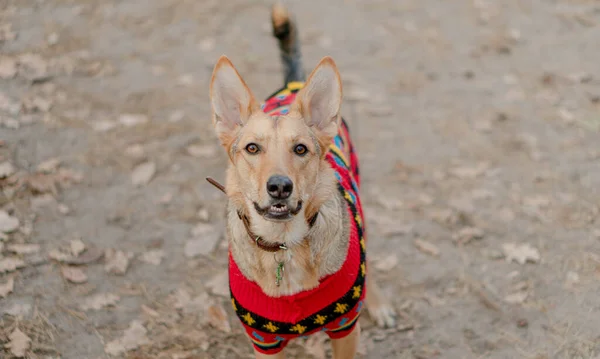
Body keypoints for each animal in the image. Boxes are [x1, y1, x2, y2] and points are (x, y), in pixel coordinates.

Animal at [209, 3, 396, 359]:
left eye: (300, 149)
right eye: (252, 148)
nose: (280, 186)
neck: (283, 247)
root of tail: (293, 82)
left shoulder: (345, 328)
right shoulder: (263, 342)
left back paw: (378, 302)